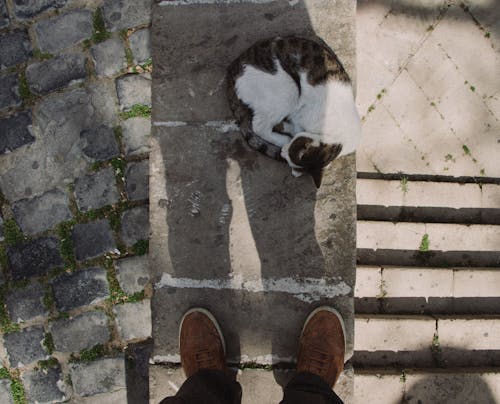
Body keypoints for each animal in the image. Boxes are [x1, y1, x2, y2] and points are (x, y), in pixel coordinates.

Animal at [226, 36, 360, 188]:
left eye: (289, 152)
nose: (283, 151)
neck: (338, 137)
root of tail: (232, 69)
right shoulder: (301, 113)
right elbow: (293, 127)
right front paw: (287, 132)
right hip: (289, 91)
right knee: (259, 127)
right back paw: (281, 138)